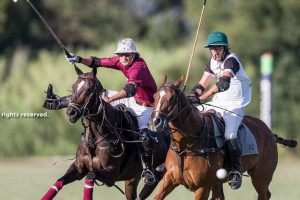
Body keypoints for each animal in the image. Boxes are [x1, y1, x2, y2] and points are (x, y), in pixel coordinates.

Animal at [41, 66, 170, 199]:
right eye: (73, 87)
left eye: (89, 89)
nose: (71, 113)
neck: (95, 138)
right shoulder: (78, 168)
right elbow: (59, 181)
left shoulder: (112, 173)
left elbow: (90, 176)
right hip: (132, 178)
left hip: (157, 176)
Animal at [149, 76, 296, 199]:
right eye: (154, 96)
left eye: (172, 99)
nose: (155, 122)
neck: (187, 145)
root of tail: (270, 133)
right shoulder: (169, 180)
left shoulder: (202, 187)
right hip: (220, 182)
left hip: (261, 176)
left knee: (264, 194)